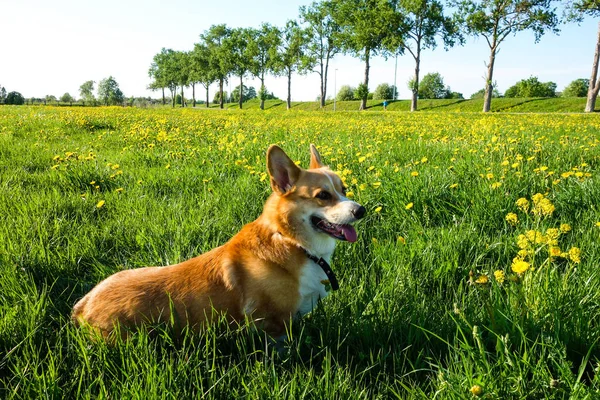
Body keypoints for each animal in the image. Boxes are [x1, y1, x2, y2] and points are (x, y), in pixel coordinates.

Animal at [74, 144, 366, 338]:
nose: (361, 210)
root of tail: (81, 306)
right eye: (323, 195)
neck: (292, 241)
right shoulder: (274, 324)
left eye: (343, 190)